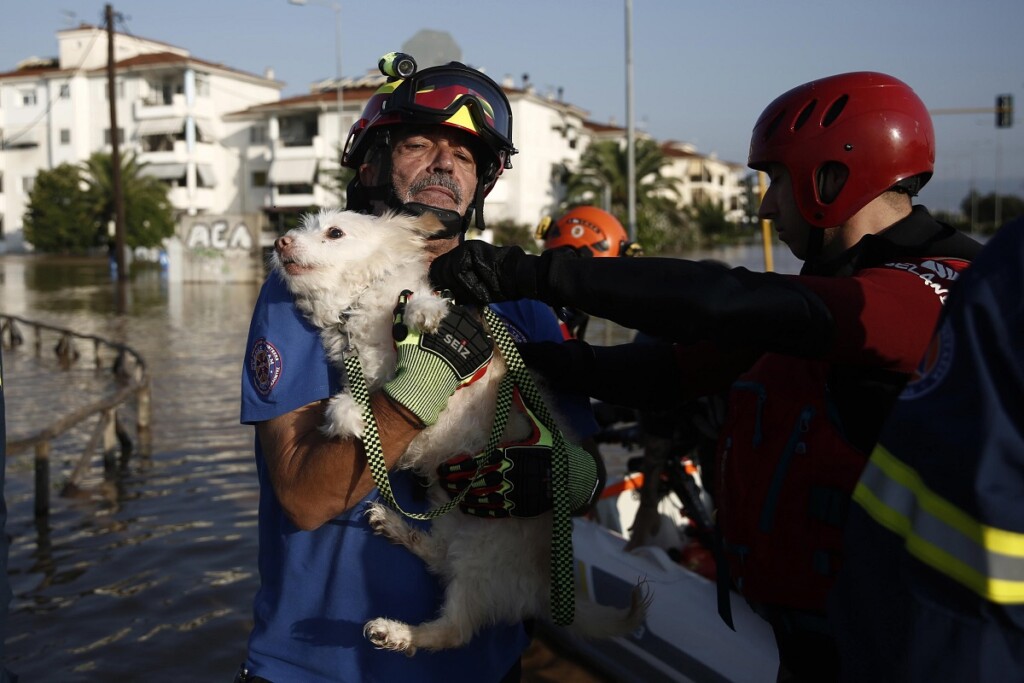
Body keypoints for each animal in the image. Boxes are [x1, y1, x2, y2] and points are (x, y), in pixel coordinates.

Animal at [268, 209, 643, 655]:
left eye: (335, 232)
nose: (280, 242)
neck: (355, 305)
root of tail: (542, 586)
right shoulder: (370, 379)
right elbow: (355, 403)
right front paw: (348, 417)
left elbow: (418, 306)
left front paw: (424, 313)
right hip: (458, 530)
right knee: (441, 567)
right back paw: (398, 540)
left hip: (480, 556)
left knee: (456, 629)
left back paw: (396, 630)